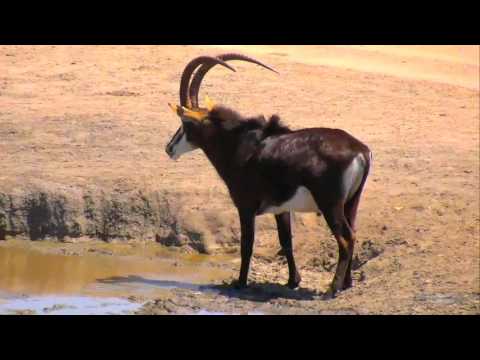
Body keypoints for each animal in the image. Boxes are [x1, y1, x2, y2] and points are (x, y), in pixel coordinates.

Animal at [165, 52, 372, 296]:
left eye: (185, 122)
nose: (169, 148)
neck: (241, 145)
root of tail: (360, 150)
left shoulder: (245, 206)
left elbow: (247, 244)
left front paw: (240, 283)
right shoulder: (281, 208)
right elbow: (286, 241)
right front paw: (292, 281)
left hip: (330, 205)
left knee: (346, 238)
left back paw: (333, 288)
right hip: (351, 202)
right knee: (353, 232)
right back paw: (347, 283)